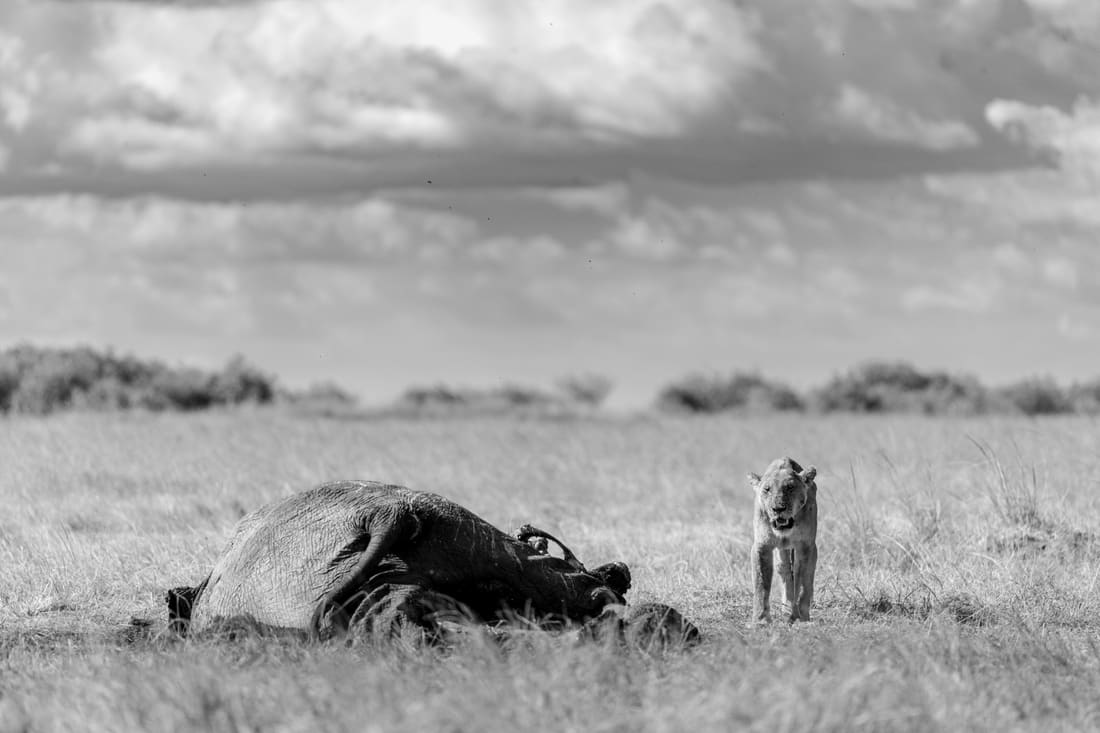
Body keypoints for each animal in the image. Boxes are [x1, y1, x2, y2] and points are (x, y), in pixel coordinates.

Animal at [748, 457, 818, 624]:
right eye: (767, 489)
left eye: (790, 487)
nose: (778, 509)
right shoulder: (762, 546)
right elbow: (761, 584)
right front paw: (760, 620)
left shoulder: (806, 546)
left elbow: (802, 582)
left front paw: (801, 617)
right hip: (782, 551)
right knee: (785, 570)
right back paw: (786, 609)